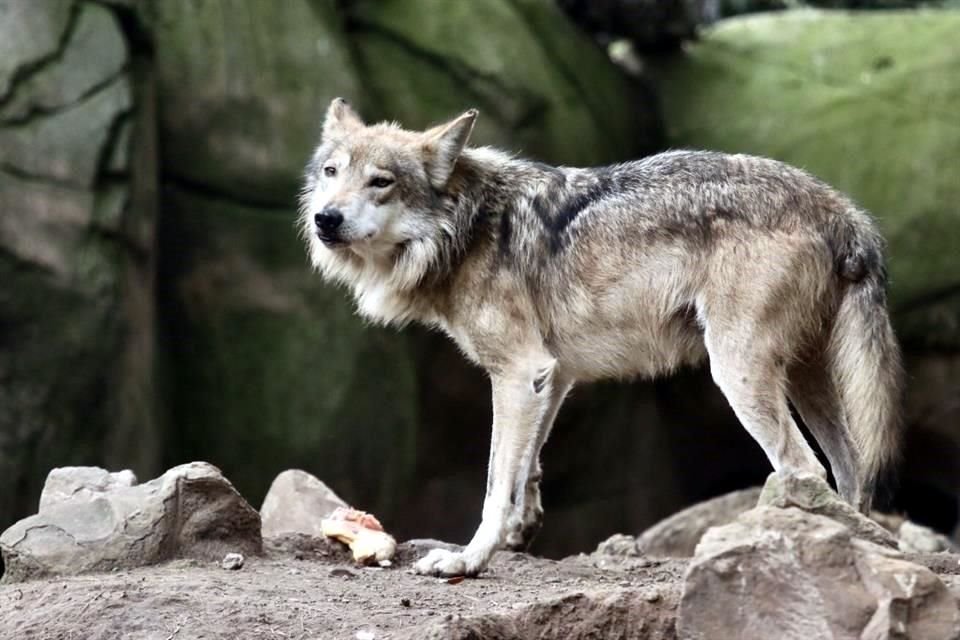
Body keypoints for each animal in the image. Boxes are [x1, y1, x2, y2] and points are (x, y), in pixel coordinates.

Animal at [298, 97, 900, 576]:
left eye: (381, 181)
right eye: (331, 171)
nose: (326, 219)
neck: (467, 227)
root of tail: (843, 211)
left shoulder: (517, 370)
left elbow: (495, 483)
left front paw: (468, 560)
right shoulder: (552, 374)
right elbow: (527, 465)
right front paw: (521, 532)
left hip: (738, 373)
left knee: (804, 470)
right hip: (803, 379)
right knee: (851, 473)